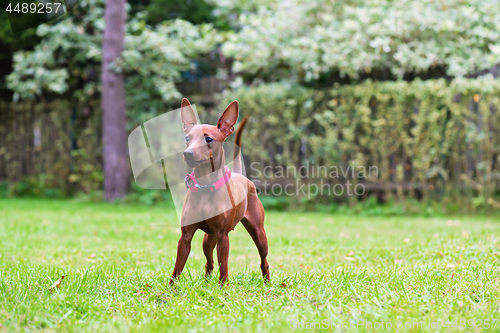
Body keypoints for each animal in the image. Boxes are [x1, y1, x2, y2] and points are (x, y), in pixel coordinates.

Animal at [169, 96, 270, 286]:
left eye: (208, 139)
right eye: (187, 138)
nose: (187, 153)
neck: (205, 186)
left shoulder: (223, 236)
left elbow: (224, 265)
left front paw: (223, 287)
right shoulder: (185, 237)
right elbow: (178, 267)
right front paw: (171, 288)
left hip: (259, 235)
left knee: (264, 261)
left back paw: (268, 282)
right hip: (208, 239)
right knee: (209, 262)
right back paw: (207, 282)